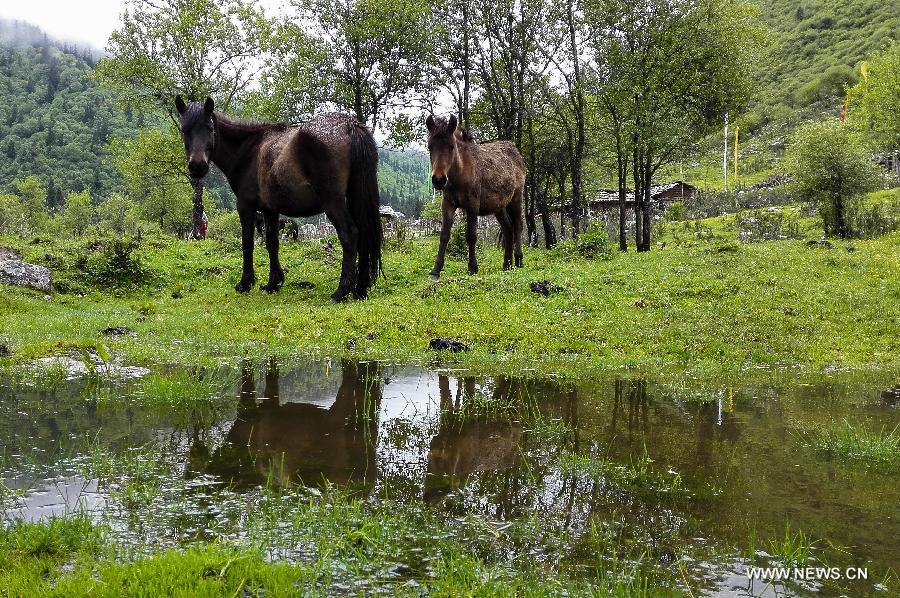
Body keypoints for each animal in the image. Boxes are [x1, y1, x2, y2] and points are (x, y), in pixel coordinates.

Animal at [176, 99, 384, 304]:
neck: (248, 150)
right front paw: (273, 283)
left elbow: (247, 243)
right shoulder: (270, 210)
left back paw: (341, 291)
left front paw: (245, 283)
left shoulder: (245, 206)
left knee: (349, 234)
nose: (197, 166)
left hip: (333, 201)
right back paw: (360, 289)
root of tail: (350, 125)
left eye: (210, 128)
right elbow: (272, 244)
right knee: (364, 233)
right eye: (184, 129)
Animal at [424, 114, 524, 278]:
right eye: (430, 146)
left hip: (516, 198)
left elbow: (471, 236)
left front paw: (472, 267)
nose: (439, 180)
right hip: (499, 207)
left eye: (451, 146)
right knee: (508, 228)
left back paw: (519, 259)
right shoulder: (448, 203)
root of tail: (516, 154)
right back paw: (507, 264)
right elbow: (444, 235)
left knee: (518, 226)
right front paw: (436, 269)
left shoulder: (472, 205)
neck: (460, 173)